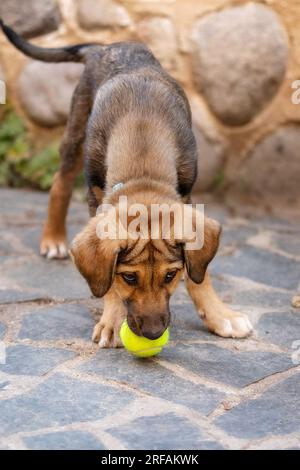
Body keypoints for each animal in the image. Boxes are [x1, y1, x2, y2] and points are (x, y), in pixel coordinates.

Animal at [1, 22, 252, 346]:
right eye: (128, 277)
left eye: (170, 275)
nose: (154, 334)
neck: (142, 144)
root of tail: (104, 47)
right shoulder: (96, 198)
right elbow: (107, 279)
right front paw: (111, 319)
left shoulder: (187, 194)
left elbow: (200, 273)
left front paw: (220, 314)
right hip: (76, 132)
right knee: (60, 182)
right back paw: (53, 238)